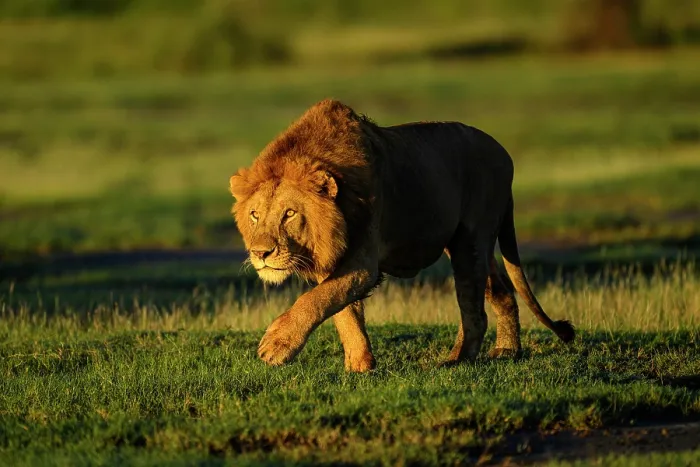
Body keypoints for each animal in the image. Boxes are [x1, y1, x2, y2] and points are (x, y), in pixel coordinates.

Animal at [229, 99, 574, 372]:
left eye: (289, 214)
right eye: (255, 215)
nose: (260, 253)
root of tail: (504, 153)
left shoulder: (364, 262)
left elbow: (316, 299)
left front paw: (276, 345)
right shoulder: (335, 260)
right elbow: (344, 312)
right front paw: (360, 367)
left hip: (471, 241)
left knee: (474, 310)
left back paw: (456, 360)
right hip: (474, 245)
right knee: (501, 291)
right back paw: (506, 350)